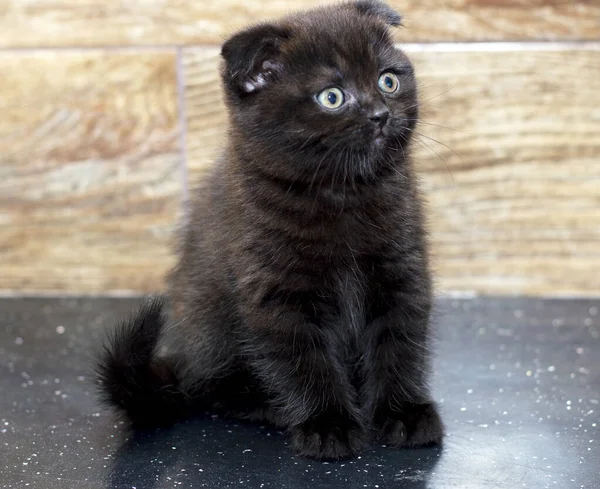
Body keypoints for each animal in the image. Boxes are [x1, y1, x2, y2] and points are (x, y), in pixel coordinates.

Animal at [96, 0, 442, 460]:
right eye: (332, 97)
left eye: (388, 80)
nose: (380, 114)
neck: (342, 194)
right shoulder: (276, 290)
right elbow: (305, 360)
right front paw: (328, 424)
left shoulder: (401, 269)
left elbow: (400, 342)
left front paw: (404, 413)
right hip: (209, 324)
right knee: (212, 388)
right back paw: (266, 404)